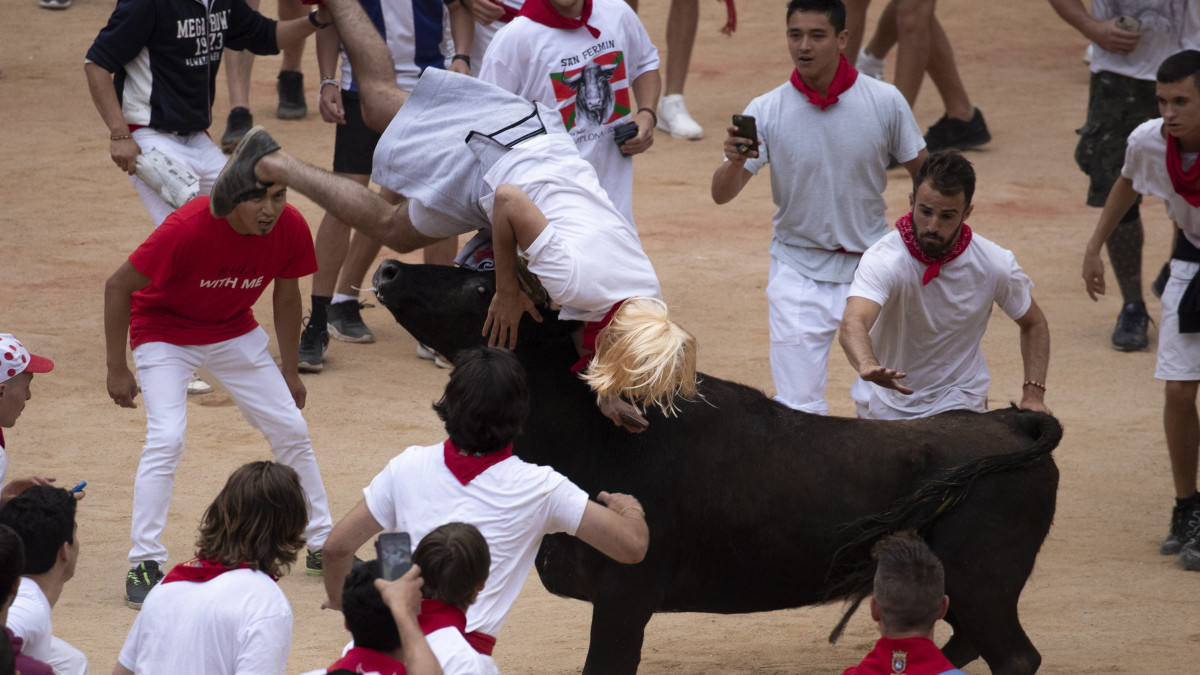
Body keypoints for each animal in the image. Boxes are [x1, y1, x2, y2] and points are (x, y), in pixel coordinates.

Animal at [367, 258, 1060, 672]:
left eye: (481, 284)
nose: (391, 268)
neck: (593, 435)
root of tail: (1016, 423)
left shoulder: (624, 598)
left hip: (983, 583)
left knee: (1014, 656)